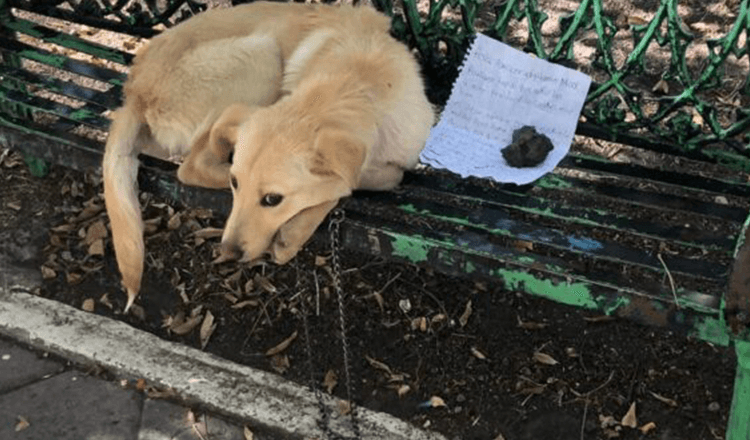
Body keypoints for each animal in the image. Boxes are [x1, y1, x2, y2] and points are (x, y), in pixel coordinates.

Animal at [103, 2, 438, 312]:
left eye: (273, 199)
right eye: (235, 183)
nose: (228, 253)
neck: (357, 82)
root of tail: (134, 91)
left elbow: (360, 178)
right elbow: (349, 183)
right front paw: (296, 231)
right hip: (262, 55)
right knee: (191, 166)